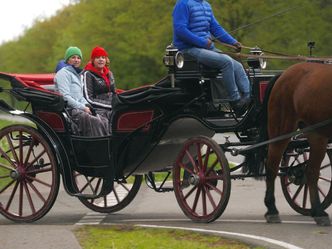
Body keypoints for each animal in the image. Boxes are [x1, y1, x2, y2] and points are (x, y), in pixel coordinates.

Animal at [264, 61, 332, 226]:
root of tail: (284, 74)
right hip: (281, 132)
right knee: (272, 167)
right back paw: (272, 210)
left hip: (316, 135)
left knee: (311, 172)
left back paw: (317, 211)